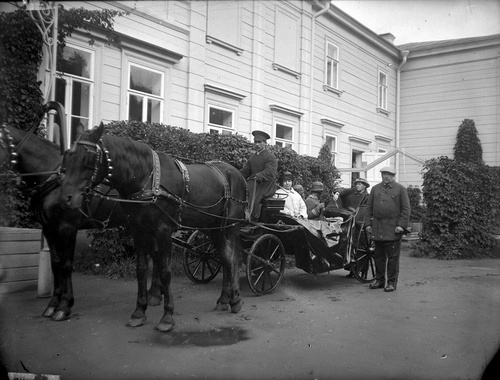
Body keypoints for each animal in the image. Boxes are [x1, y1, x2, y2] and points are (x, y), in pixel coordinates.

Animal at [0, 115, 162, 320]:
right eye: (69, 157)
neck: (52, 178)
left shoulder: (67, 228)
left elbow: (66, 264)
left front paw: (64, 306)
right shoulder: (49, 229)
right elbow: (56, 264)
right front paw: (53, 304)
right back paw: (155, 294)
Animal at [59, 123, 247, 332]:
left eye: (88, 158)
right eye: (67, 156)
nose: (66, 198)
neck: (147, 180)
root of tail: (235, 172)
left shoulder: (162, 230)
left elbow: (165, 270)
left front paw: (167, 316)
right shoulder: (138, 230)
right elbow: (142, 269)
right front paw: (139, 312)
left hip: (231, 227)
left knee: (234, 259)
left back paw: (235, 300)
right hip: (214, 228)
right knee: (225, 258)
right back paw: (224, 299)